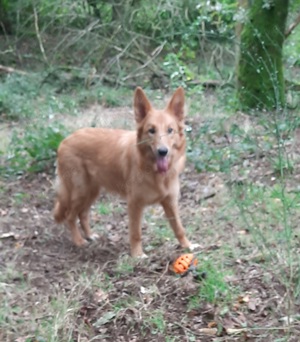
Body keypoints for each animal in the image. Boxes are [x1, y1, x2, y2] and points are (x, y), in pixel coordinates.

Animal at [53, 87, 198, 255]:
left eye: (170, 130)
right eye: (151, 130)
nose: (163, 152)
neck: (155, 172)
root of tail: (65, 140)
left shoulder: (170, 202)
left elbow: (179, 228)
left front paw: (187, 246)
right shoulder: (134, 204)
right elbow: (136, 233)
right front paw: (137, 255)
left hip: (92, 192)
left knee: (82, 214)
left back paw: (89, 235)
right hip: (81, 191)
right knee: (70, 216)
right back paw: (78, 241)